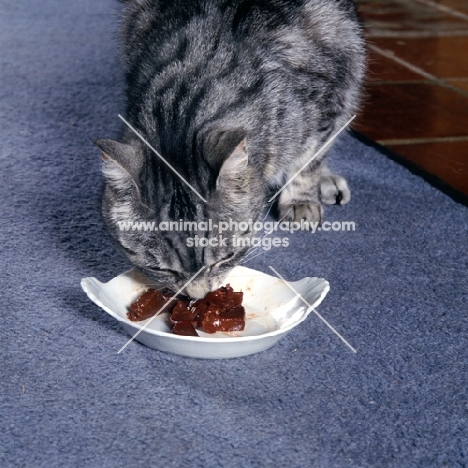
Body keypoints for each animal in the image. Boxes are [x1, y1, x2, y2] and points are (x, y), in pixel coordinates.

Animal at [95, 0, 366, 298]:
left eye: (226, 258)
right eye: (162, 270)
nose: (198, 296)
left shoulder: (327, 99)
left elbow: (309, 159)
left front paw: (301, 199)